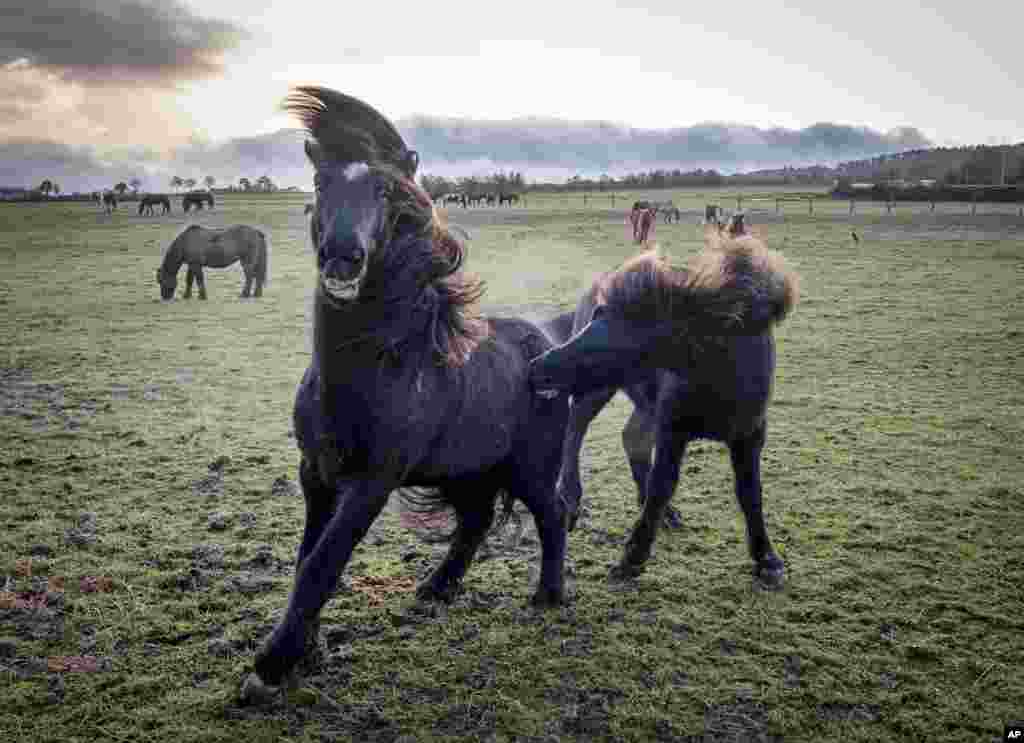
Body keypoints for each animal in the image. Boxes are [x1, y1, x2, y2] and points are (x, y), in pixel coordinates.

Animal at [239, 86, 571, 703]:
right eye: (320, 182)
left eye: (384, 189)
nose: (343, 256)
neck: (369, 370)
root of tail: (547, 346)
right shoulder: (315, 474)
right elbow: (306, 560)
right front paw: (304, 649)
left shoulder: (371, 482)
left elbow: (324, 564)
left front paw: (271, 664)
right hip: (467, 470)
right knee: (474, 523)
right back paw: (437, 587)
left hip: (530, 468)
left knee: (553, 513)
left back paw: (548, 595)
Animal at [530, 229, 799, 588]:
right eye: (596, 320)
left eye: (620, 336)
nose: (538, 367)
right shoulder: (673, 428)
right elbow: (662, 485)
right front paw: (632, 558)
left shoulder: (749, 434)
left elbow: (750, 493)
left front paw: (767, 558)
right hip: (599, 391)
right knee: (576, 428)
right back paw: (571, 498)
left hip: (640, 400)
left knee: (630, 437)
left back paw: (664, 512)